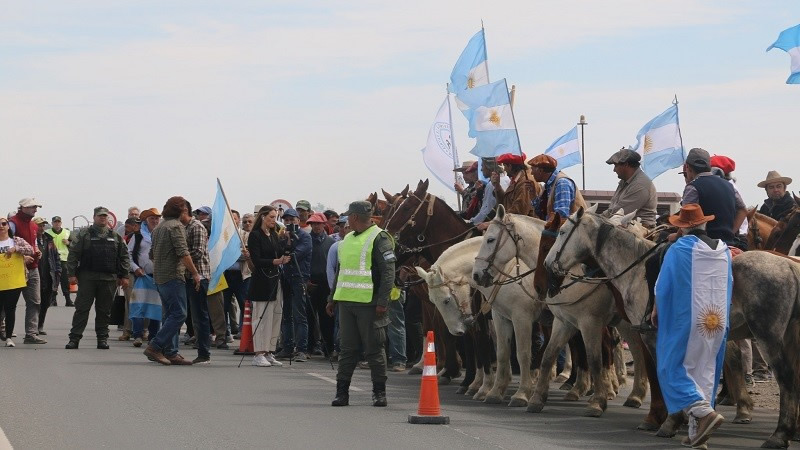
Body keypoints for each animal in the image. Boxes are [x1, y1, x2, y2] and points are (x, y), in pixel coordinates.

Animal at [468, 206, 648, 416]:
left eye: (490, 239)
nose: (476, 275)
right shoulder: (506, 318)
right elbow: (510, 353)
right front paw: (498, 392)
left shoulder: (528, 318)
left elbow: (525, 353)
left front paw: (521, 394)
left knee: (633, 349)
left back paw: (628, 393)